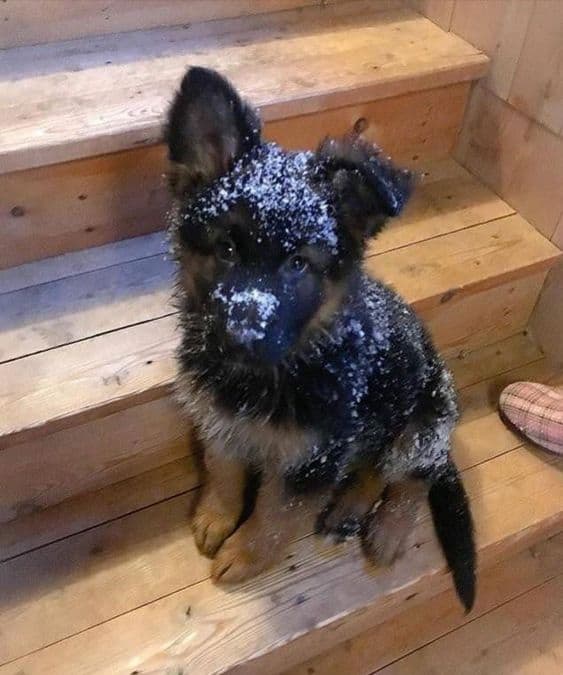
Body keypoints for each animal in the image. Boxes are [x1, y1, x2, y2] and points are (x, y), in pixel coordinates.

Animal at [166, 66, 476, 608]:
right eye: (227, 248)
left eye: (297, 264)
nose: (239, 339)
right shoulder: (219, 418)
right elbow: (223, 468)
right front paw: (216, 516)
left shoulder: (313, 457)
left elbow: (275, 513)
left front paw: (246, 554)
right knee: (372, 466)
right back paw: (349, 506)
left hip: (425, 420)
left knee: (412, 475)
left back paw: (387, 527)